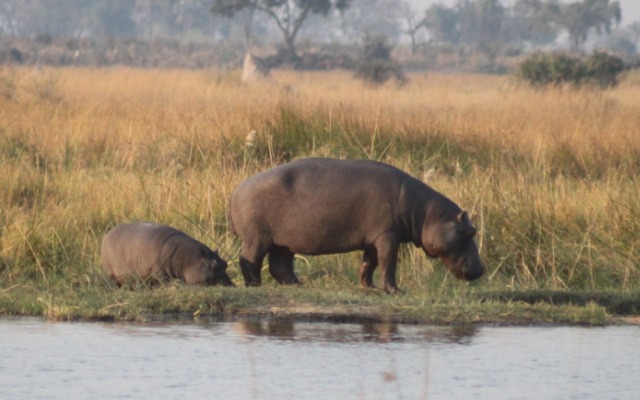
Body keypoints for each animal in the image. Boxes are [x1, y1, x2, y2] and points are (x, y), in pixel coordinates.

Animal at [99, 222, 231, 288]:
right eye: (213, 266)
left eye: (225, 264)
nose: (231, 284)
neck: (187, 259)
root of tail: (107, 234)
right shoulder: (159, 272)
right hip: (112, 274)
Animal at [228, 158, 482, 292]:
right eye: (470, 232)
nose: (482, 270)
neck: (426, 213)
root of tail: (236, 190)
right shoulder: (388, 235)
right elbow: (388, 262)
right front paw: (394, 291)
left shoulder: (374, 238)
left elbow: (369, 263)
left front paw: (369, 287)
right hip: (257, 239)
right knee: (250, 260)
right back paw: (254, 285)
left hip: (284, 242)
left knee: (280, 265)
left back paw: (298, 285)